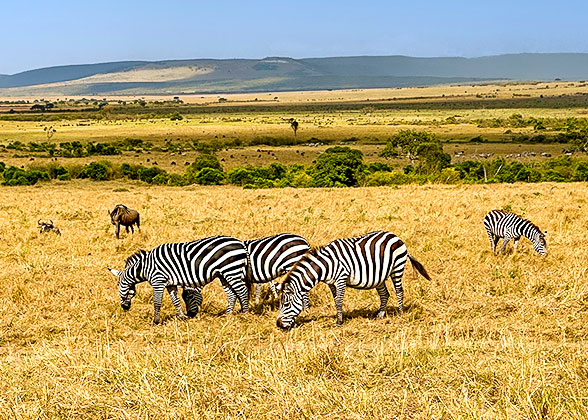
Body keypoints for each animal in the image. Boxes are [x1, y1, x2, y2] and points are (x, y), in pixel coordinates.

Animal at [108, 236, 248, 324]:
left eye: (118, 285)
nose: (124, 307)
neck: (145, 267)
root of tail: (240, 243)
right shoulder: (170, 284)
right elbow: (175, 301)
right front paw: (182, 317)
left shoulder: (158, 281)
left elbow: (157, 302)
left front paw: (155, 321)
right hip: (224, 274)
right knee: (231, 294)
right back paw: (227, 315)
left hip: (231, 270)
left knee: (242, 291)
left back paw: (245, 314)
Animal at [274, 231, 430, 330]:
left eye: (286, 304)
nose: (278, 325)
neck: (325, 265)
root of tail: (395, 236)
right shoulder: (331, 283)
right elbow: (335, 300)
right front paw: (339, 318)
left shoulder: (341, 278)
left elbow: (339, 300)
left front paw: (339, 322)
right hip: (379, 276)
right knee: (385, 294)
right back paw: (380, 315)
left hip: (397, 268)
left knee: (399, 291)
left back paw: (401, 313)